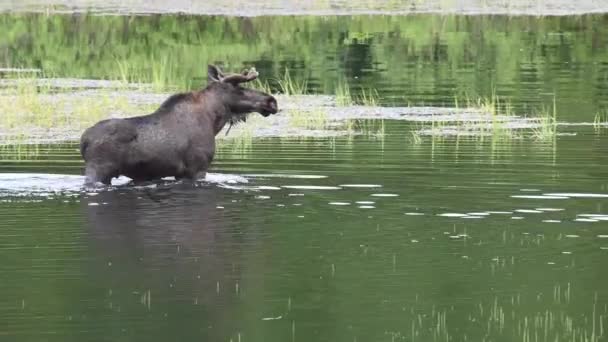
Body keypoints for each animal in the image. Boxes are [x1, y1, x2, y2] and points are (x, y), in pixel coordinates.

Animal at [80, 64, 278, 187]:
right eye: (240, 88)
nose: (271, 101)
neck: (213, 121)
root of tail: (83, 141)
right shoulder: (197, 169)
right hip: (99, 170)